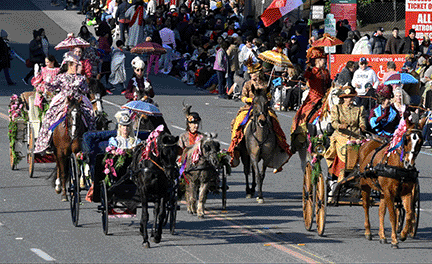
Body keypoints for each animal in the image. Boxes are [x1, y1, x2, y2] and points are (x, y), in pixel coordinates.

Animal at [356, 112, 426, 249]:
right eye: (406, 139)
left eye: (420, 141)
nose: (409, 164)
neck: (398, 165)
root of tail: (368, 141)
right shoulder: (389, 192)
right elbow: (393, 216)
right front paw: (394, 240)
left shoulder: (406, 192)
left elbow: (409, 213)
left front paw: (403, 235)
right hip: (365, 185)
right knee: (366, 206)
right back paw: (368, 232)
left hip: (383, 192)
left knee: (381, 211)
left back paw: (382, 236)